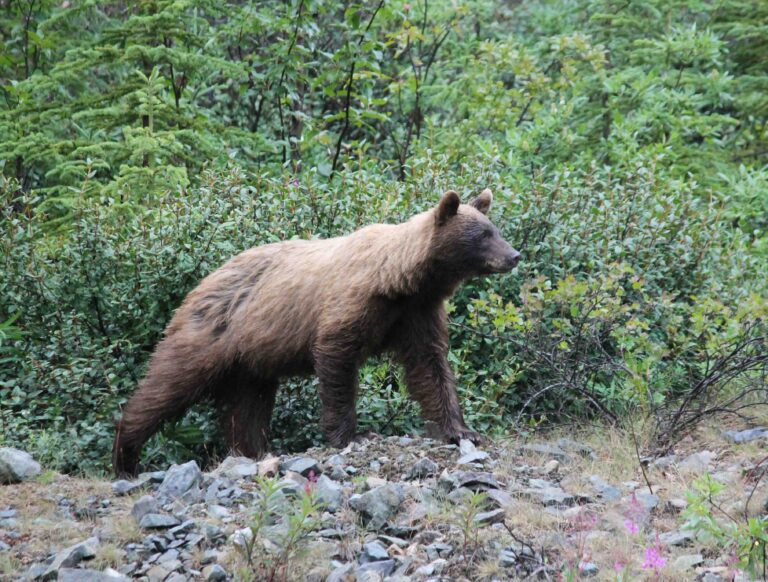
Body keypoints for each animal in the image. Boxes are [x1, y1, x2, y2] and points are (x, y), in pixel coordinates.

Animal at [112, 189, 520, 476]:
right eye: (484, 234)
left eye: (495, 230)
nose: (514, 256)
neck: (401, 280)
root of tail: (199, 284)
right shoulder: (355, 304)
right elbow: (337, 358)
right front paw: (353, 434)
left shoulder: (416, 314)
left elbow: (430, 366)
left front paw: (461, 429)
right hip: (212, 334)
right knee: (168, 384)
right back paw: (126, 455)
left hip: (249, 360)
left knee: (247, 408)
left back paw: (253, 451)